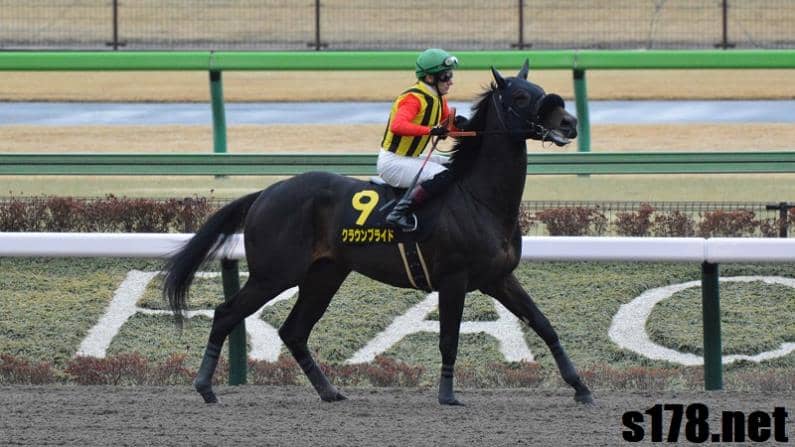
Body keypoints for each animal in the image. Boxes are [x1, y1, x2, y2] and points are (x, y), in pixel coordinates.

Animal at [163, 60, 594, 406]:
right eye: (520, 97)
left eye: (539, 90)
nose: (569, 123)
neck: (481, 199)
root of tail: (265, 193)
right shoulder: (453, 279)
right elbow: (449, 338)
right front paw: (447, 395)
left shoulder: (499, 278)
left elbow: (543, 324)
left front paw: (581, 388)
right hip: (274, 273)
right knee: (226, 314)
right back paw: (205, 387)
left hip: (324, 274)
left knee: (294, 331)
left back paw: (329, 391)